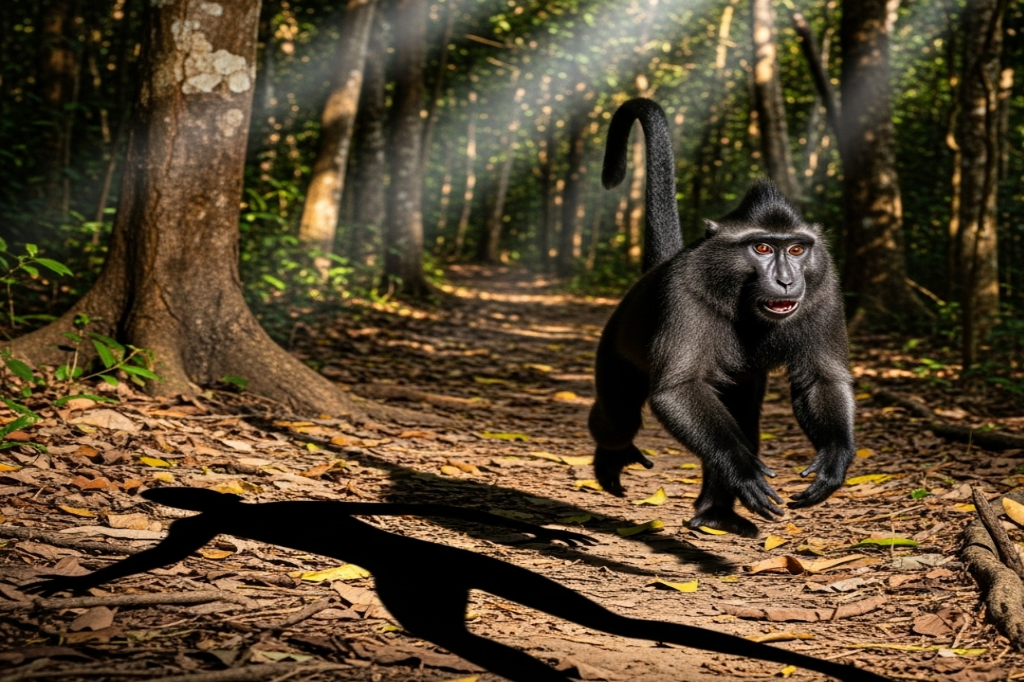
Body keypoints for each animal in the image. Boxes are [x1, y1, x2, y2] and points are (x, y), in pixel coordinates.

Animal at [589, 98, 856, 538]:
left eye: (797, 250)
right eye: (762, 247)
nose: (786, 280)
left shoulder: (824, 289)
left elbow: (822, 379)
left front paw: (834, 458)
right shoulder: (685, 292)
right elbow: (678, 390)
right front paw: (743, 470)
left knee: (742, 415)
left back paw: (716, 513)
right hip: (615, 350)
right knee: (618, 417)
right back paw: (611, 455)